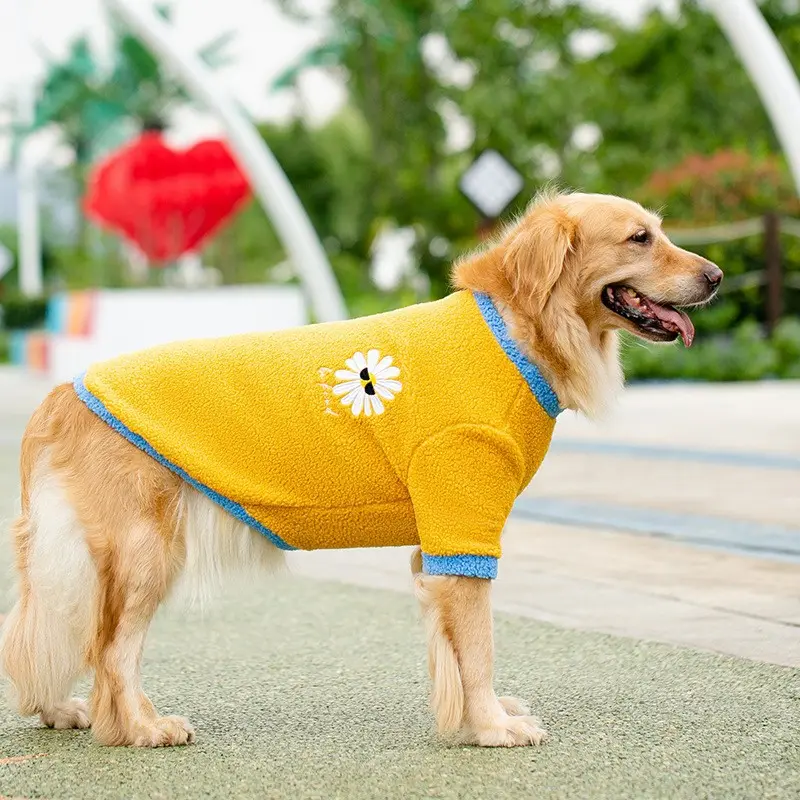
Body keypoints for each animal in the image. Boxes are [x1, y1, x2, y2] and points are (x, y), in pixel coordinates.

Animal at [0, 194, 720, 752]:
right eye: (640, 237)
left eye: (660, 231)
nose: (716, 275)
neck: (513, 334)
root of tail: (64, 390)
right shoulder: (463, 522)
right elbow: (479, 647)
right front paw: (492, 727)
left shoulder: (437, 540)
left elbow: (453, 652)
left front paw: (474, 720)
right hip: (145, 552)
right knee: (109, 651)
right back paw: (140, 727)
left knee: (53, 631)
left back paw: (64, 710)